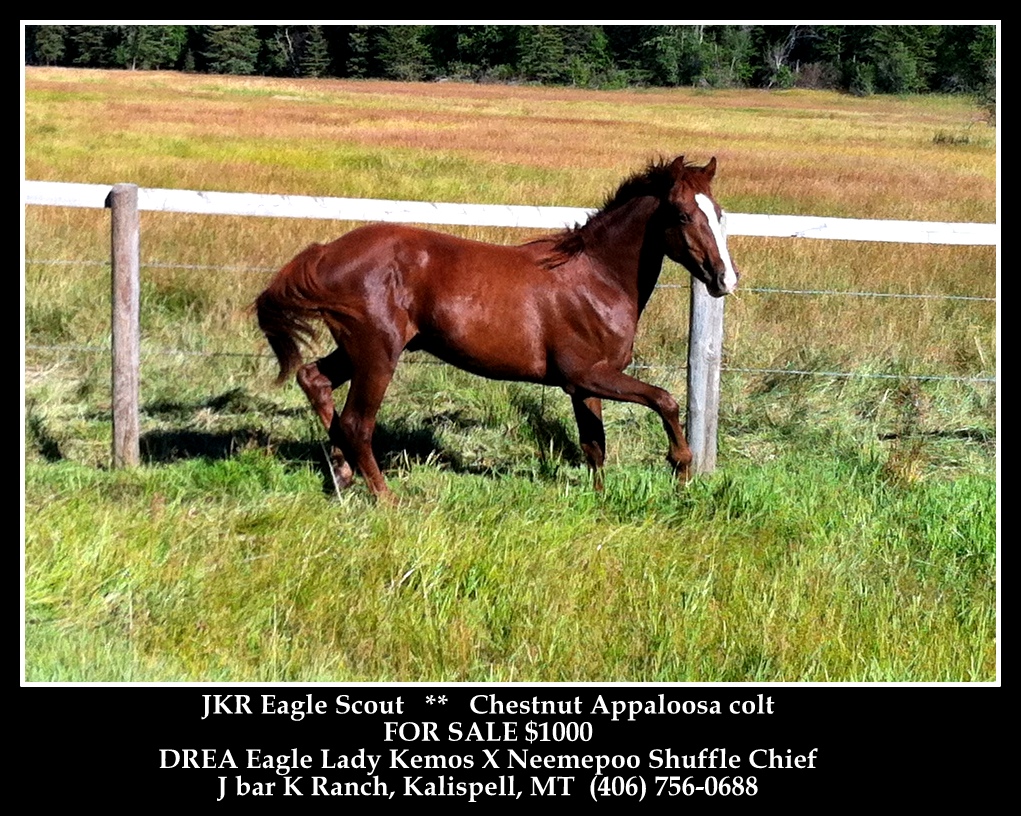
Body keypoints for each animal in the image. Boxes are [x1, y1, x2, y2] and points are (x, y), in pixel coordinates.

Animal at [256, 156, 739, 500]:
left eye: (719, 212)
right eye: (682, 215)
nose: (725, 280)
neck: (596, 278)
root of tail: (325, 253)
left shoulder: (586, 384)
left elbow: (594, 446)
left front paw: (601, 500)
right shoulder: (587, 374)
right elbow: (665, 400)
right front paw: (682, 469)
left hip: (359, 349)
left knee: (315, 380)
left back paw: (341, 475)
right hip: (377, 354)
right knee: (357, 422)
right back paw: (386, 499)